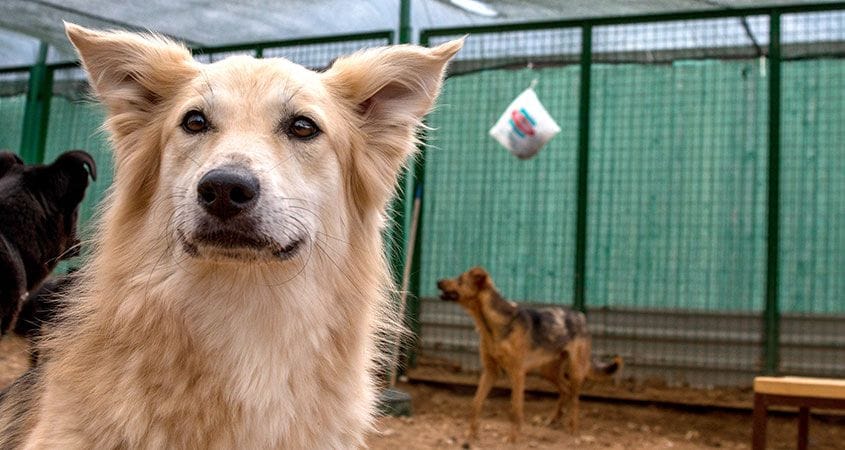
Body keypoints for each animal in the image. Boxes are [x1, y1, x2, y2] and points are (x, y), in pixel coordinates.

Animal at [436, 268, 620, 442]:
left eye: (460, 280)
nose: (438, 281)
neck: (492, 324)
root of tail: (581, 316)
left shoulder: (517, 373)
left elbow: (515, 409)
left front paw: (513, 438)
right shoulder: (490, 371)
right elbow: (476, 404)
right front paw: (471, 434)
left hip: (575, 371)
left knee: (574, 399)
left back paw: (573, 430)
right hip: (547, 371)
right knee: (565, 390)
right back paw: (553, 419)